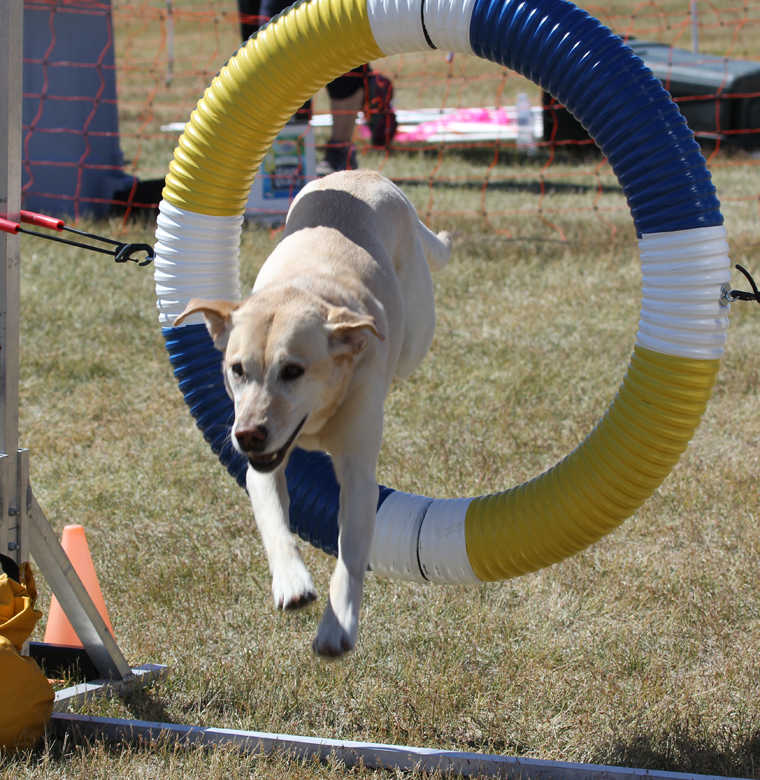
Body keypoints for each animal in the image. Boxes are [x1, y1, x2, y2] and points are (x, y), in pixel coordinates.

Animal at [177, 171, 452, 660]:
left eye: (293, 371)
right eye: (236, 369)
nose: (247, 435)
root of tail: (367, 175)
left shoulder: (359, 476)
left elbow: (350, 556)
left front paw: (335, 627)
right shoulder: (262, 469)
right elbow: (273, 521)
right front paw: (291, 582)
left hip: (417, 333)